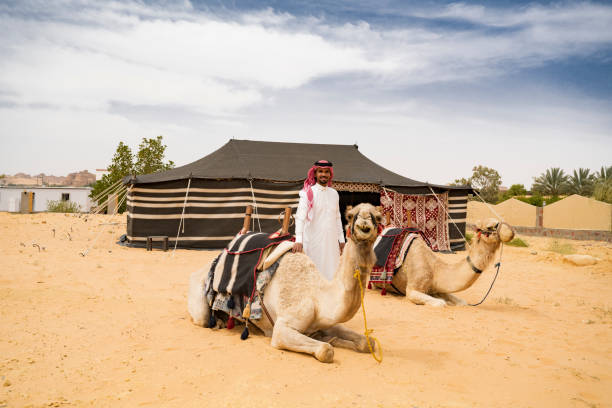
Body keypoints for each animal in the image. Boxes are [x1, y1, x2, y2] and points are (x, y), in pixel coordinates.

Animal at [186, 204, 382, 364]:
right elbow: (326, 350)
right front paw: (328, 342)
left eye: (378, 217)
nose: (365, 222)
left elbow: (368, 342)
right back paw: (218, 321)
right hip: (200, 302)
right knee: (203, 318)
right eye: (350, 216)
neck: (317, 297)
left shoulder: (328, 322)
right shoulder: (282, 329)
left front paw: (334, 339)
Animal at [384, 220, 512, 306]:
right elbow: (441, 303)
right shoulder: (412, 289)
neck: (434, 269)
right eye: (490, 226)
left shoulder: (438, 288)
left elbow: (462, 302)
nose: (509, 229)